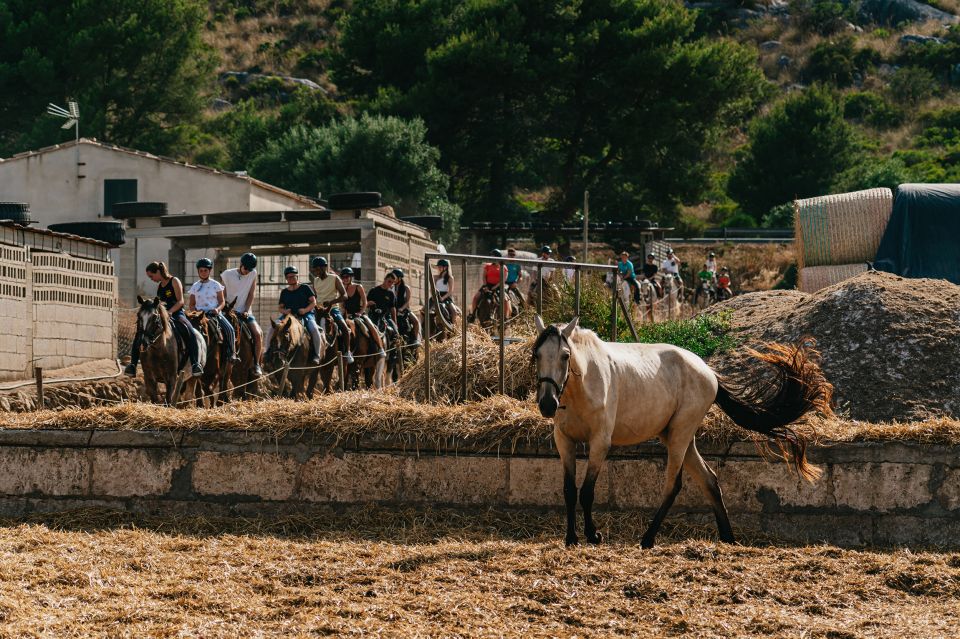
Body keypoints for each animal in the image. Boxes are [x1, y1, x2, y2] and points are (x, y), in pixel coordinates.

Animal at [532, 318, 832, 548]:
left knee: (673, 485)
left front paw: (593, 535)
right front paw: (571, 538)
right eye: (537, 355)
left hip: (679, 435)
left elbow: (586, 491)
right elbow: (569, 490)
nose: (547, 404)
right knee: (710, 480)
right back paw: (728, 537)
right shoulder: (564, 442)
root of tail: (709, 372)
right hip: (680, 437)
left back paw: (648, 539)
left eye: (565, 356)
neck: (582, 386)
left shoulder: (599, 443)